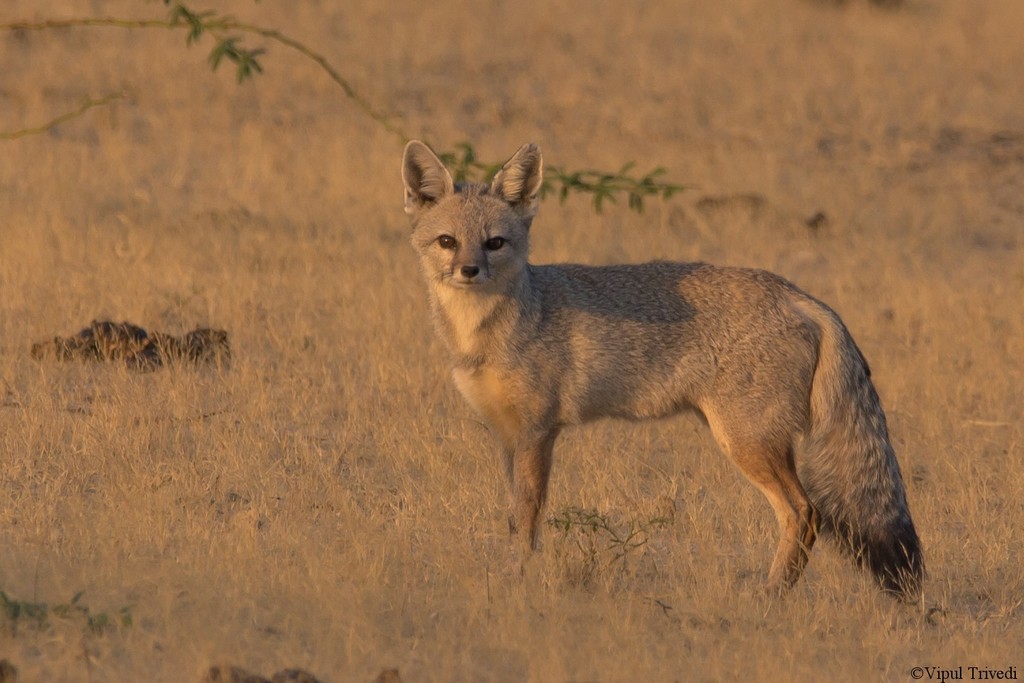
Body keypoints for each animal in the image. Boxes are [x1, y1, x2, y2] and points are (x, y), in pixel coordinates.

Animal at [403, 140, 925, 598]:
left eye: (494, 243)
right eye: (448, 242)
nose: (469, 271)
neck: (489, 332)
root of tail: (799, 294)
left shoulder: (538, 432)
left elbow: (529, 517)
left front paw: (521, 577)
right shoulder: (509, 436)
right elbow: (515, 519)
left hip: (746, 442)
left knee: (805, 512)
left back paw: (771, 594)